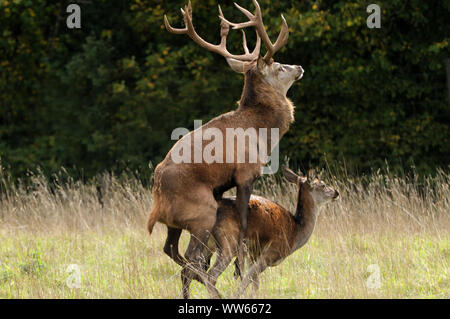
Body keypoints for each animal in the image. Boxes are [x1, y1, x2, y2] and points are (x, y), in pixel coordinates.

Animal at [146, 0, 304, 284]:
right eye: (278, 66)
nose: (299, 67)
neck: (262, 132)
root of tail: (157, 202)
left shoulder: (220, 188)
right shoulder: (245, 174)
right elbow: (243, 225)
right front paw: (239, 270)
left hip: (179, 221)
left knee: (171, 249)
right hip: (202, 211)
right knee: (188, 255)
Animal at [181, 168, 340, 300]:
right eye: (323, 184)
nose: (336, 192)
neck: (295, 233)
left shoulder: (253, 253)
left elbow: (254, 282)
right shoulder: (271, 252)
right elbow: (248, 279)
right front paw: (236, 296)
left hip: (207, 244)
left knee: (187, 271)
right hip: (228, 240)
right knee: (210, 275)